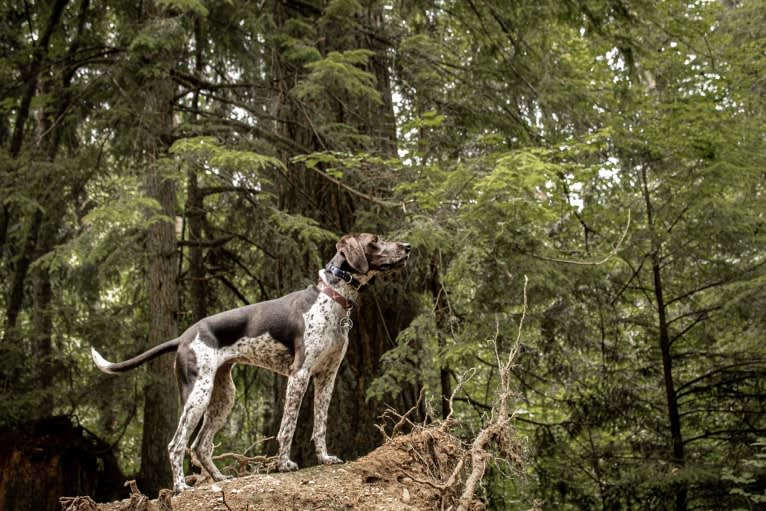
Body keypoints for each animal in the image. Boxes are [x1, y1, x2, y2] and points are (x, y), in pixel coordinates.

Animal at [92, 234, 412, 494]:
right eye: (375, 240)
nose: (408, 246)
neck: (331, 298)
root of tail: (183, 337)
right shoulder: (299, 375)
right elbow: (288, 426)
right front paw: (284, 463)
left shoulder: (326, 377)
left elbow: (319, 425)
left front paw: (324, 458)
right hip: (197, 396)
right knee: (177, 444)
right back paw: (181, 486)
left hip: (223, 396)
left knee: (201, 445)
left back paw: (220, 478)